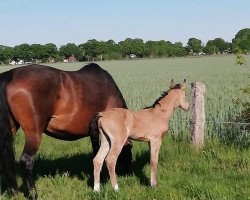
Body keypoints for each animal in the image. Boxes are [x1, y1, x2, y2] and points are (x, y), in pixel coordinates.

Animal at [0, 63, 133, 198]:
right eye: (130, 148)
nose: (129, 172)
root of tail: (10, 75)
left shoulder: (93, 131)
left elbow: (96, 153)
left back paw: (13, 192)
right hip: (34, 133)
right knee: (26, 160)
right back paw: (33, 194)